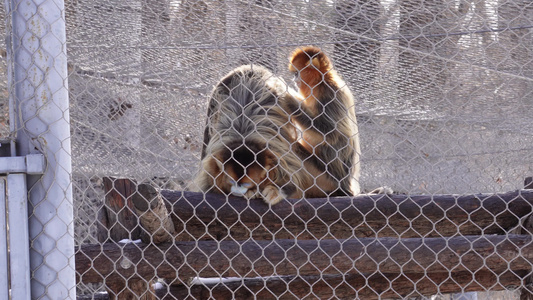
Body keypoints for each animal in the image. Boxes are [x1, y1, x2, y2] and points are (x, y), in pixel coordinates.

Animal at [193, 64, 312, 205]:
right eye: (231, 181)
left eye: (246, 184)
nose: (237, 191)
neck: (244, 138)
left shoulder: (279, 153)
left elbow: (292, 181)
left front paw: (274, 191)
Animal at [282, 45, 362, 197]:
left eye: (296, 74)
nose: (295, 80)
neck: (321, 82)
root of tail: (346, 185)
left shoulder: (328, 94)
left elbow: (332, 134)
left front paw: (288, 98)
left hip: (325, 177)